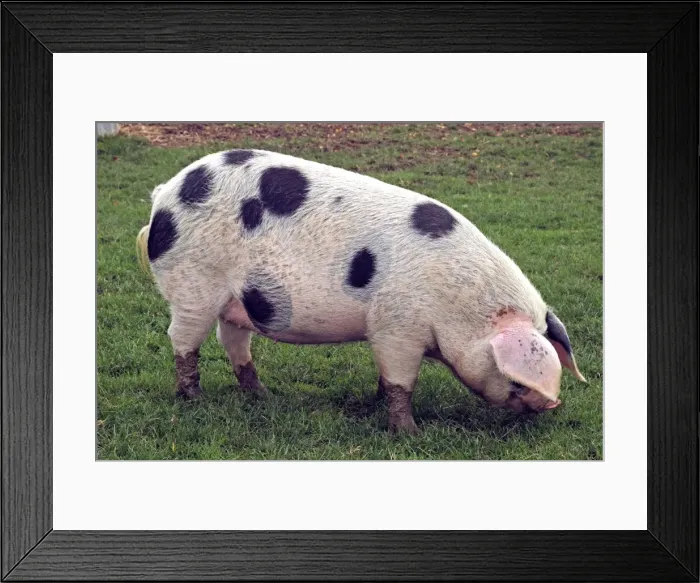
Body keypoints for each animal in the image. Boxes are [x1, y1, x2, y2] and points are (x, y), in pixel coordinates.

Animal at [136, 149, 586, 434]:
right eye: (517, 381)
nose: (553, 404)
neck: (459, 305)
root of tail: (165, 194)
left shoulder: (386, 331)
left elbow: (387, 378)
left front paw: (376, 404)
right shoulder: (398, 327)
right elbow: (402, 382)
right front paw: (410, 433)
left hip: (238, 299)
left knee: (232, 341)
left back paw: (262, 395)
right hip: (194, 282)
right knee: (182, 340)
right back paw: (194, 398)